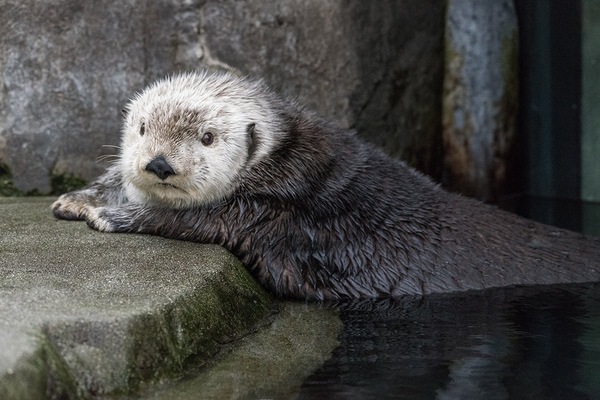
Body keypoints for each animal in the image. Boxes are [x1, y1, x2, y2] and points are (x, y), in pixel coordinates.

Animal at [51, 70, 600, 300]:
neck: (286, 160)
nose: (160, 164)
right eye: (143, 128)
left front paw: (111, 213)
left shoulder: (273, 211)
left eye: (206, 137)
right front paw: (79, 197)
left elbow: (199, 221)